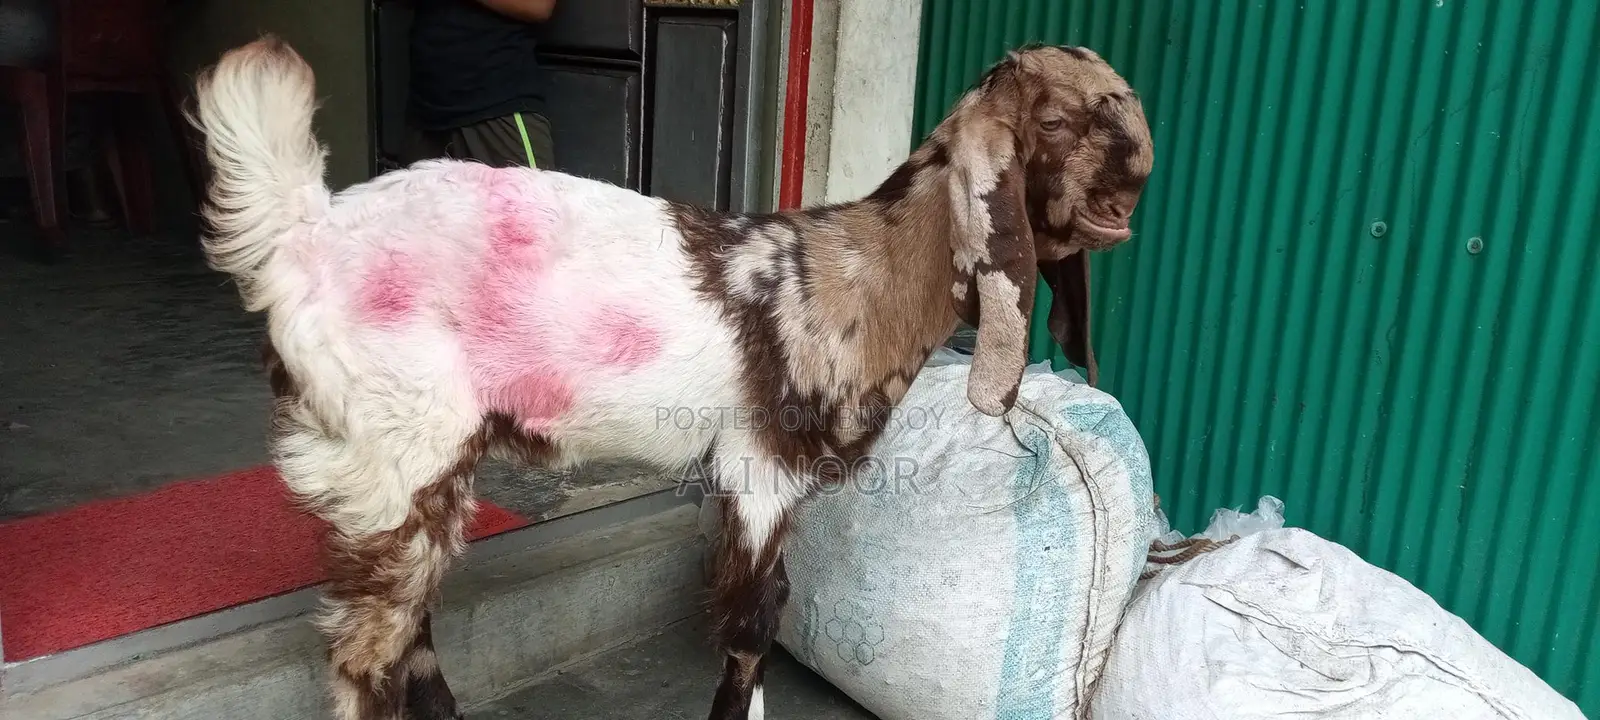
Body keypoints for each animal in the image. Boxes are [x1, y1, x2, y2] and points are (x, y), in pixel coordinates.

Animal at [189, 35, 1152, 720]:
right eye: (1054, 124)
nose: (1128, 200)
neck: (862, 275)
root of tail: (304, 231)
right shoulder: (761, 467)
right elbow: (754, 620)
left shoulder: (753, 482)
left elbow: (761, 610)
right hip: (399, 445)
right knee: (366, 656)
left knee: (406, 635)